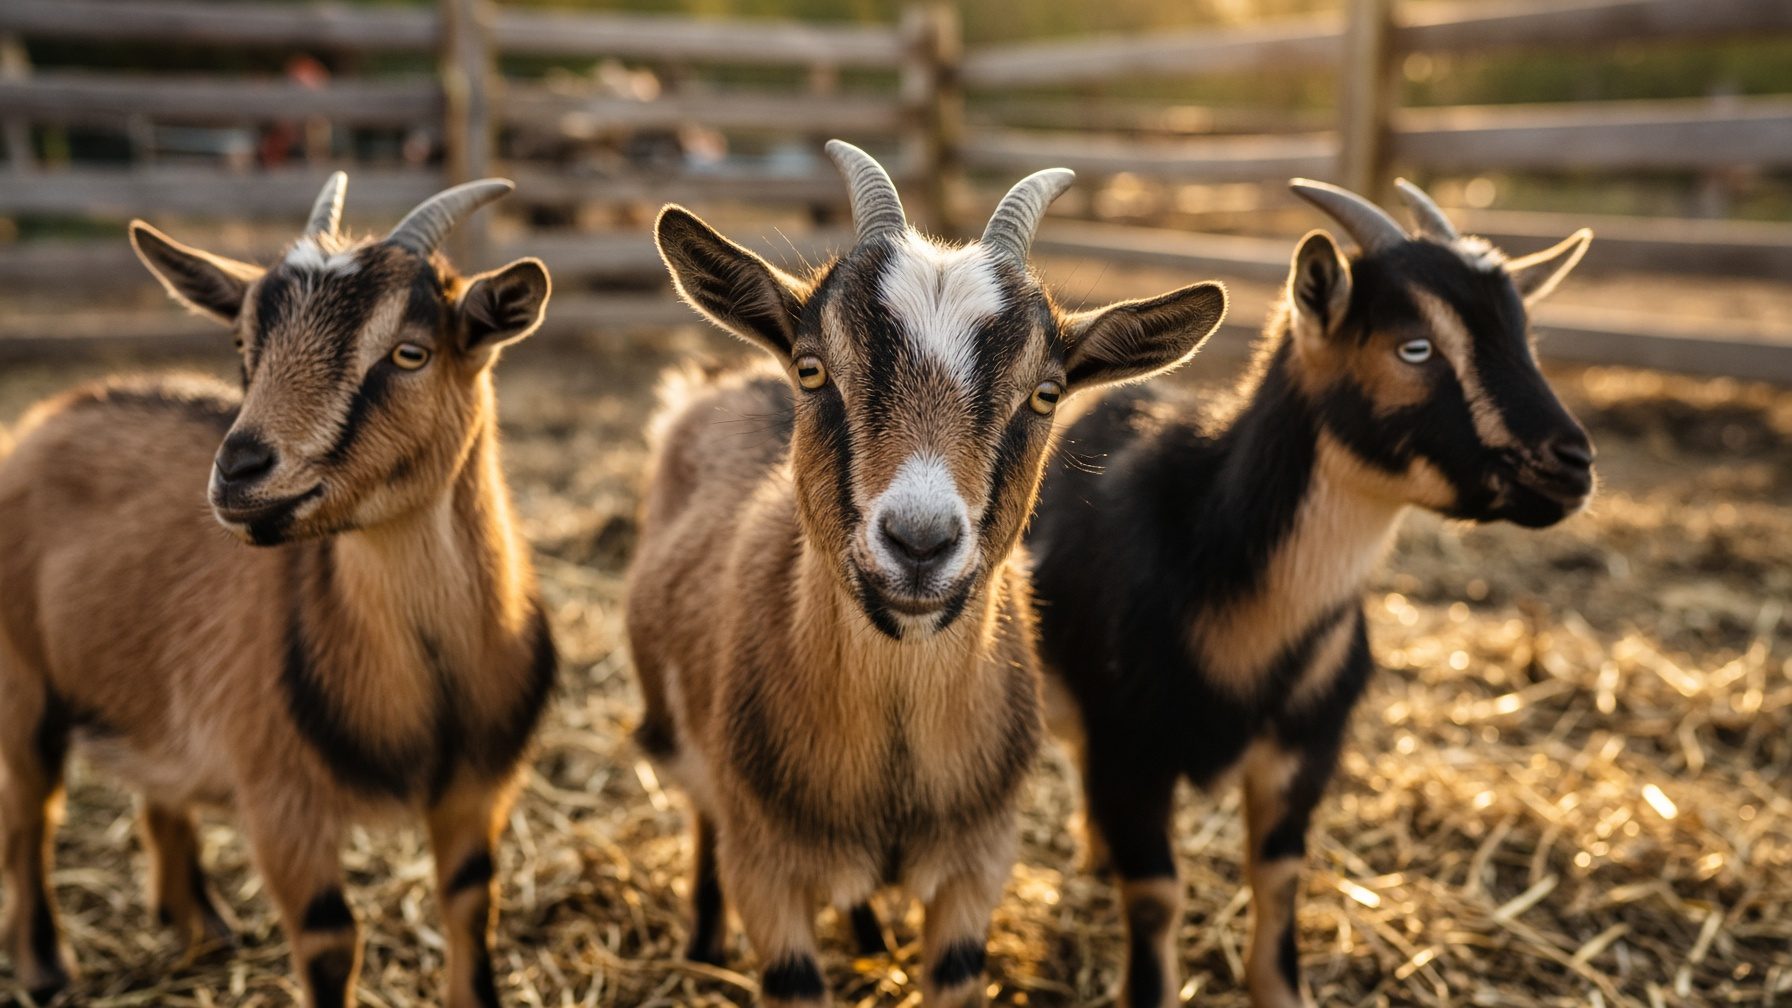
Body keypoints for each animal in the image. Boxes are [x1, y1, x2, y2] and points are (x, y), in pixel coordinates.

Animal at [0, 174, 555, 1008]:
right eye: (242, 346)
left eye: (410, 352)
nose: (238, 470)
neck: (430, 694)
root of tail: (47, 415)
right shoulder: (281, 801)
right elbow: (329, 942)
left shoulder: (479, 788)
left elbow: (469, 902)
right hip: (22, 682)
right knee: (32, 811)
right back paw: (43, 964)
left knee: (156, 787)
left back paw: (199, 923)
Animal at [627, 139, 1227, 1007]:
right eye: (812, 370)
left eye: (1046, 394)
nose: (919, 542)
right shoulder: (765, 870)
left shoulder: (979, 868)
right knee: (702, 818)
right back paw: (705, 940)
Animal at [1026, 179, 1596, 1008]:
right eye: (1415, 347)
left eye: (1527, 339)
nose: (1573, 464)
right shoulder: (1131, 743)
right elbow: (1156, 894)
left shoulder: (1305, 749)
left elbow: (1279, 879)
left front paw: (1281, 991)